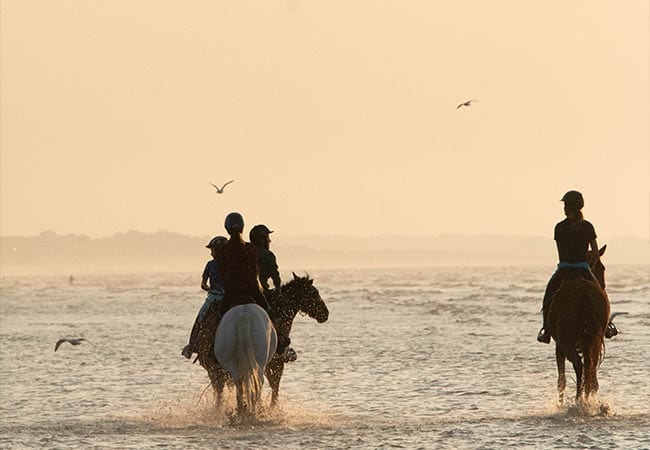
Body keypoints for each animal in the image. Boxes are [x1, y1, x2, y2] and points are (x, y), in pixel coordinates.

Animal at [548, 246, 608, 404]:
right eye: (601, 268)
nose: (603, 287)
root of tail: (583, 293)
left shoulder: (559, 346)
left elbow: (561, 380)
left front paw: (561, 403)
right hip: (592, 341)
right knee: (589, 367)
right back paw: (585, 398)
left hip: (567, 342)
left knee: (580, 365)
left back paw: (578, 398)